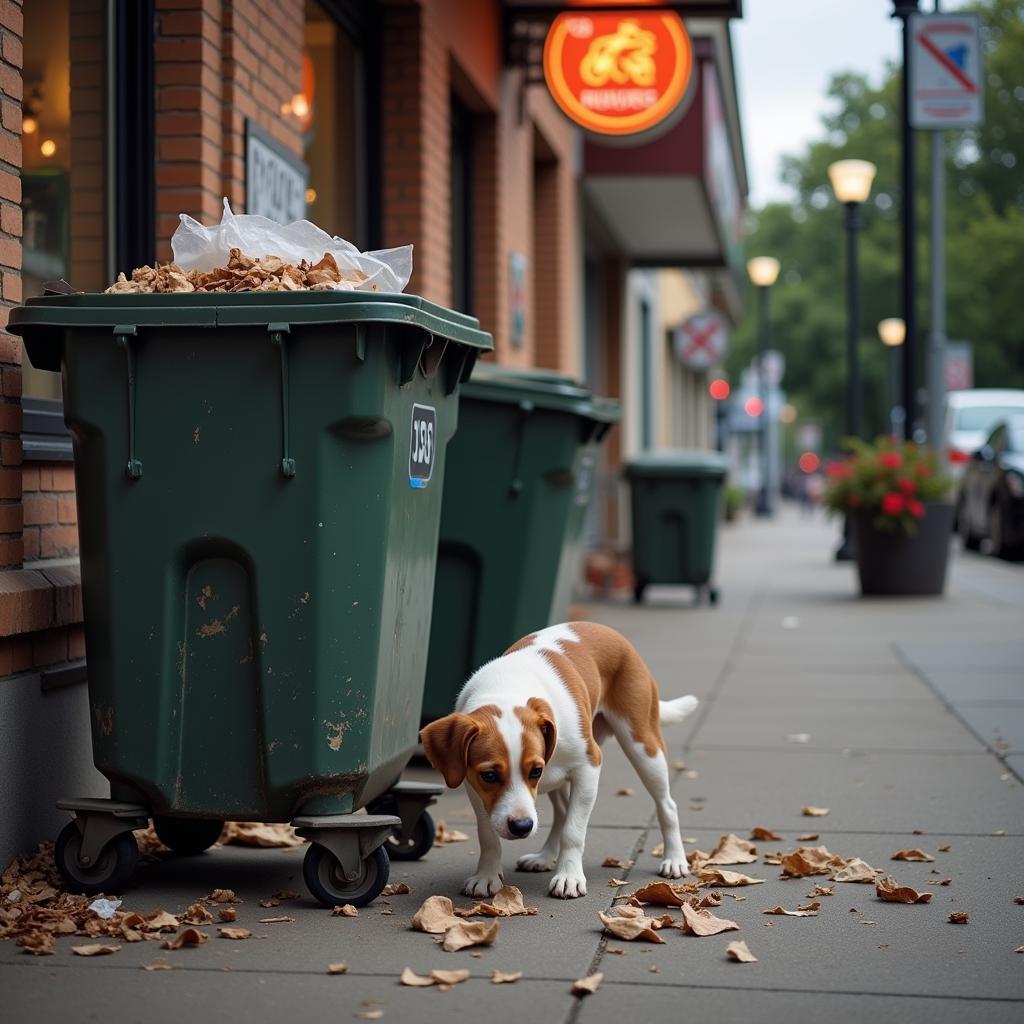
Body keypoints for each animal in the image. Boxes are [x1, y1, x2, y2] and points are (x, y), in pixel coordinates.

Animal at [419, 618, 700, 901]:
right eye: (489, 776)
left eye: (535, 771)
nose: (522, 826)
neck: (506, 689)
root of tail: (603, 628)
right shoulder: (472, 785)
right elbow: (487, 834)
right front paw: (487, 875)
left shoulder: (588, 768)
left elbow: (572, 832)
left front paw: (569, 877)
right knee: (563, 811)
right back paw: (544, 857)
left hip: (643, 747)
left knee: (666, 805)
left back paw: (674, 859)